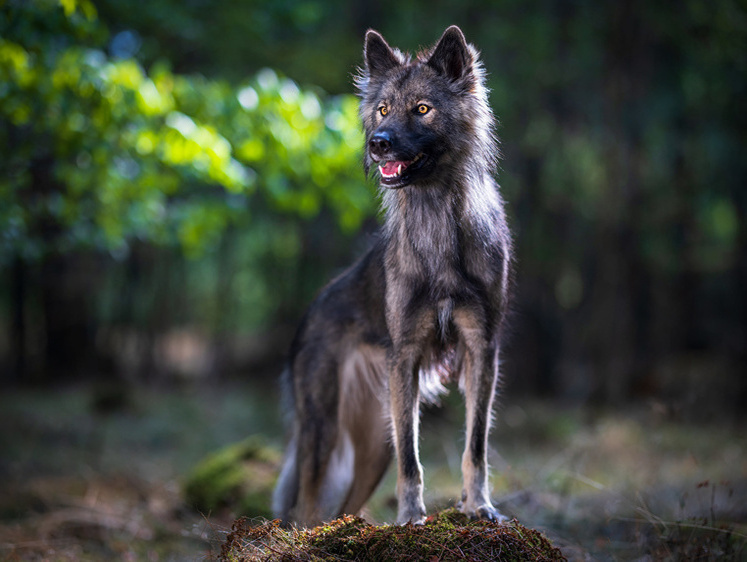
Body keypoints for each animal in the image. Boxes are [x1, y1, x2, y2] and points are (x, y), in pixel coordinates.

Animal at [274, 25, 516, 524]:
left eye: (422, 109)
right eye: (383, 109)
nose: (377, 143)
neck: (439, 221)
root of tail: (312, 309)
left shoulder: (481, 349)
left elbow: (476, 446)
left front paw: (479, 505)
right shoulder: (406, 357)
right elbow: (413, 457)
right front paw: (410, 518)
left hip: (371, 446)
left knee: (339, 506)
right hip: (324, 435)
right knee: (307, 509)